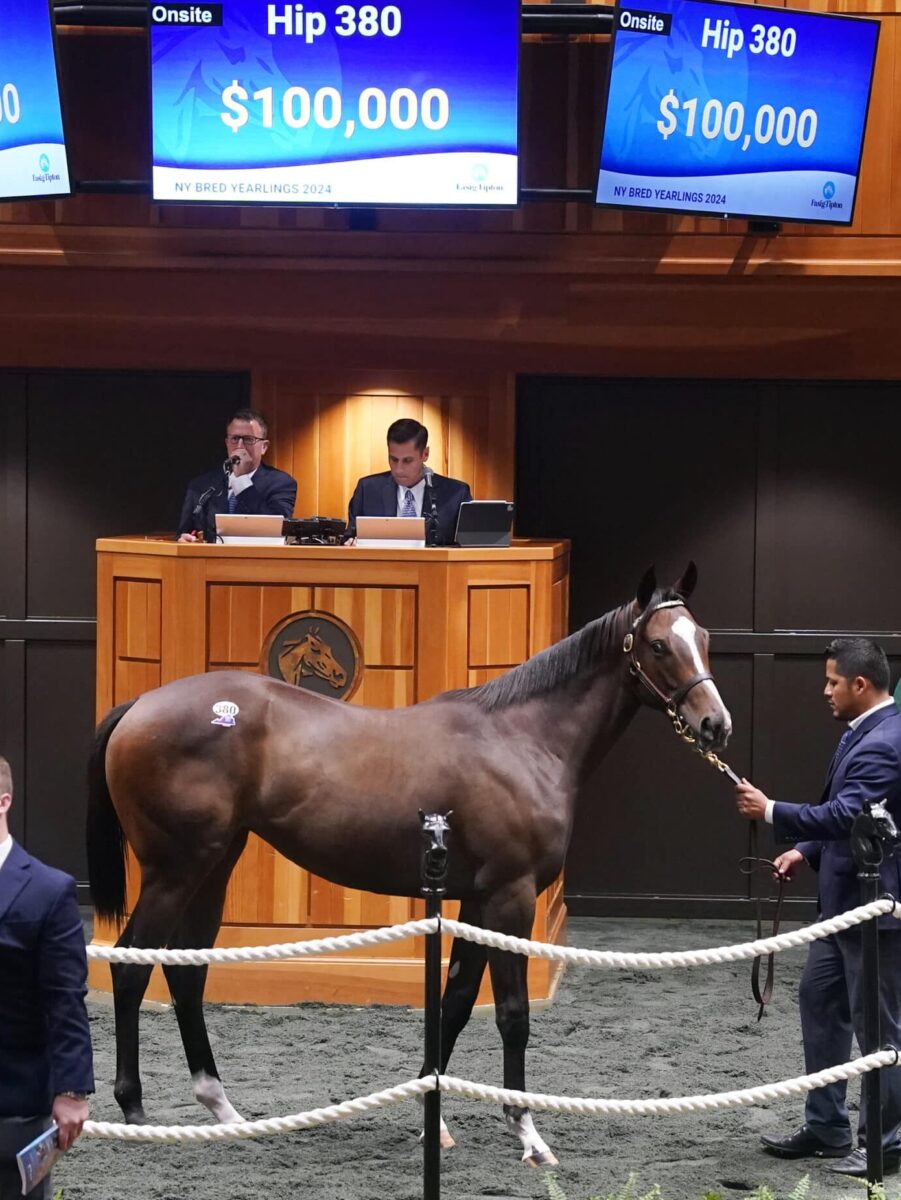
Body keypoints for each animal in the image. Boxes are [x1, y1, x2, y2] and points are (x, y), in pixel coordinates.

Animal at [86, 566, 734, 1166]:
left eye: (701, 636)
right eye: (658, 645)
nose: (715, 724)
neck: (523, 739)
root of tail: (140, 705)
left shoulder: (476, 900)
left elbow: (455, 1002)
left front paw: (433, 1120)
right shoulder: (511, 897)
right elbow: (512, 1014)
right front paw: (527, 1135)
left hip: (214, 866)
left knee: (187, 972)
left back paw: (222, 1109)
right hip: (174, 871)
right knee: (131, 966)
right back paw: (134, 1109)